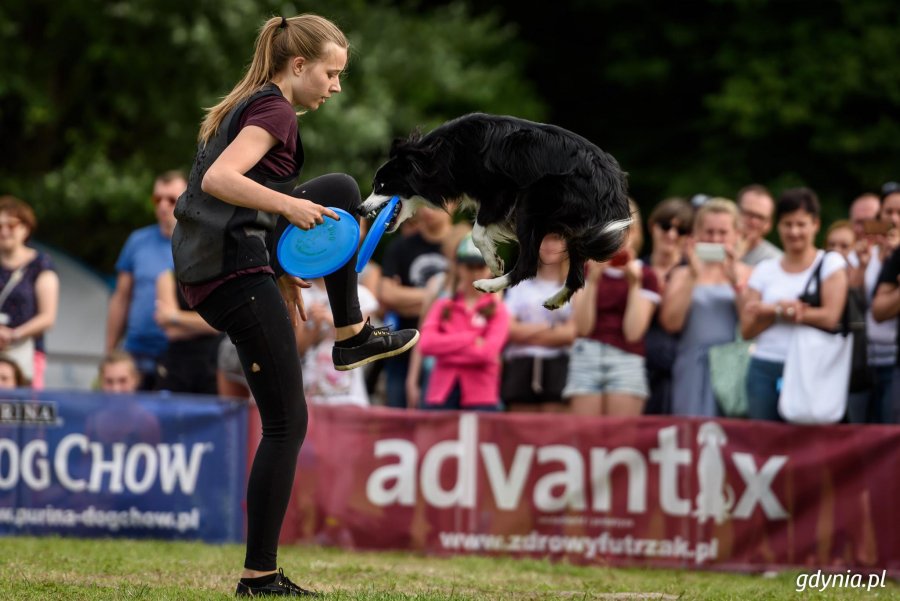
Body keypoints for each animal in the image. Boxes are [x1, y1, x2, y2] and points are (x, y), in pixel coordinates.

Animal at [358, 113, 632, 310]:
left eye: (380, 186)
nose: (360, 209)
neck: (436, 157)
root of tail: (611, 182)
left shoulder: (500, 191)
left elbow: (478, 233)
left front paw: (494, 262)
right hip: (580, 228)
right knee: (576, 274)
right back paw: (555, 300)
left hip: (533, 201)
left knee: (529, 264)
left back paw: (488, 285)